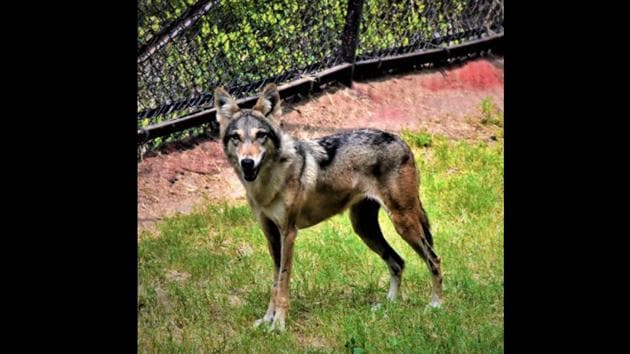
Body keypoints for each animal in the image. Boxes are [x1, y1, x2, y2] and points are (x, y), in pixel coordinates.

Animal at [215, 83, 442, 332]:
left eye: (260, 135)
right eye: (236, 137)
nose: (247, 162)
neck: (267, 185)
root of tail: (400, 140)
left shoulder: (288, 234)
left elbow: (283, 283)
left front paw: (279, 325)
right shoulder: (271, 236)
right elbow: (275, 284)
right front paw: (267, 320)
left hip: (403, 224)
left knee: (433, 260)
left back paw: (435, 305)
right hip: (364, 229)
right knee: (398, 262)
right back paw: (388, 306)